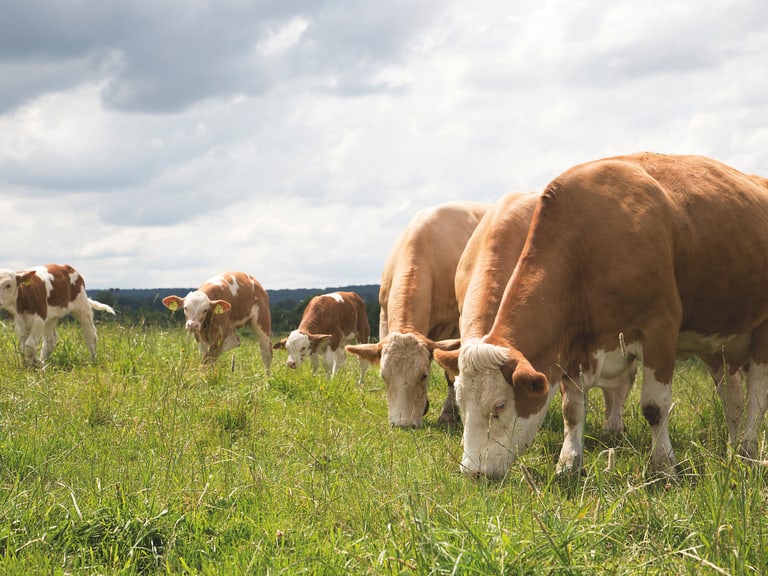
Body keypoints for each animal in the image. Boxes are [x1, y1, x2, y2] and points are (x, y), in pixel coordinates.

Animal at [346, 201, 490, 427]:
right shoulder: (384, 318)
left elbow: (451, 373)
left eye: (423, 376)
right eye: (384, 376)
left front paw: (448, 416)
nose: (402, 424)